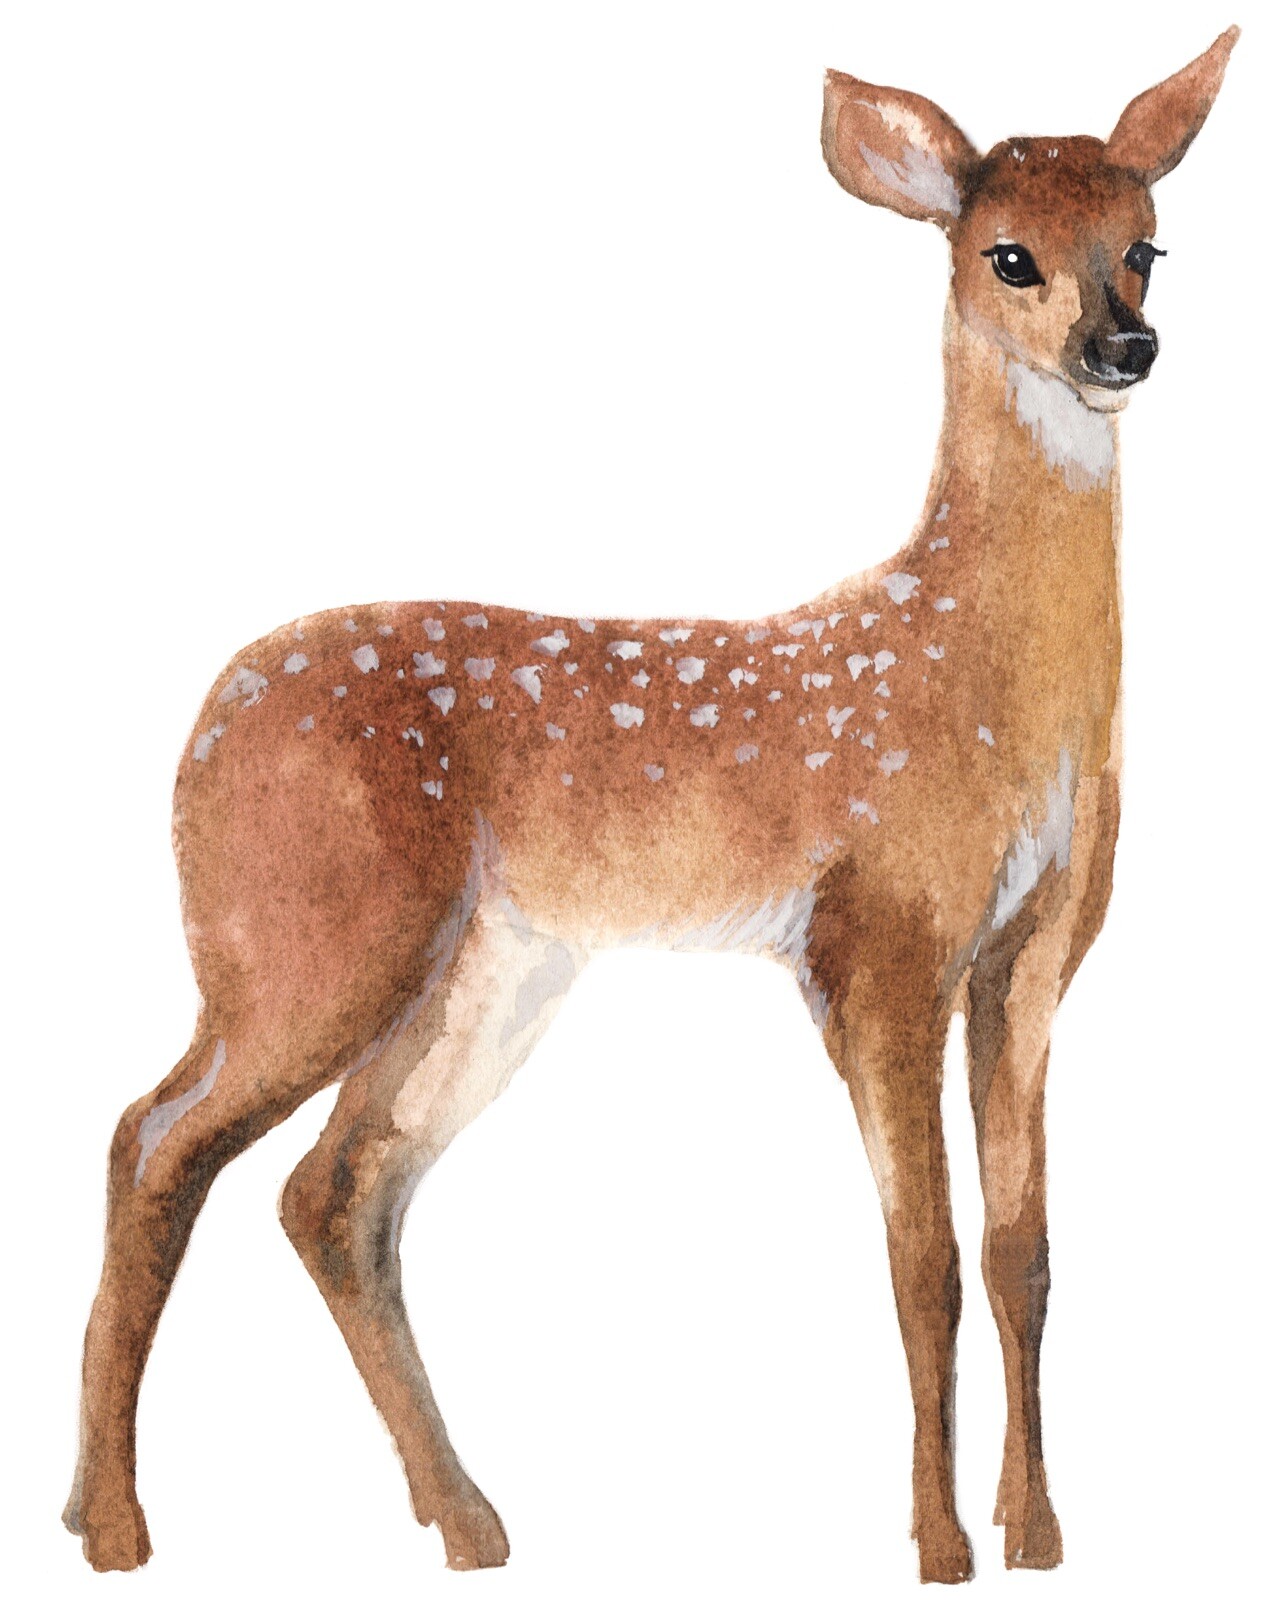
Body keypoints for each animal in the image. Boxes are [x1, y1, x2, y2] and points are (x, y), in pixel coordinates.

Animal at [65, 27, 1238, 1585]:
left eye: (1145, 247)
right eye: (1006, 256)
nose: (1123, 348)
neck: (979, 687)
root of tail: (202, 720)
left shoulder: (1034, 953)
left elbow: (1020, 1251)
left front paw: (1038, 1533)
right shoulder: (873, 942)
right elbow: (917, 1258)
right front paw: (936, 1546)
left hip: (483, 971)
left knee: (333, 1190)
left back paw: (465, 1521)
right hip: (302, 937)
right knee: (155, 1138)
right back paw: (116, 1525)